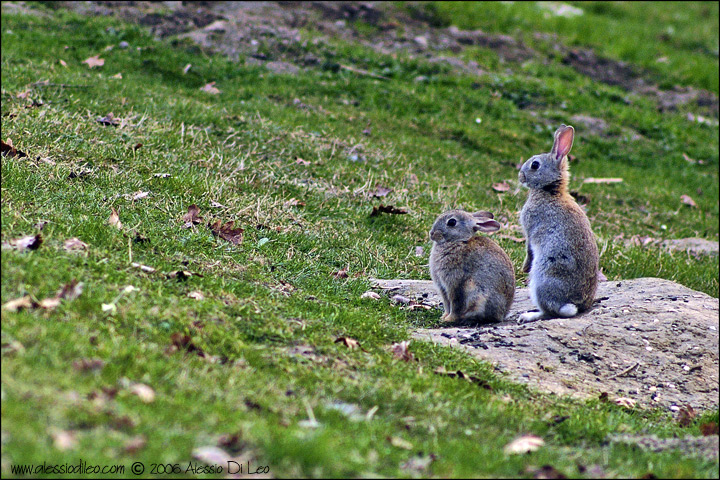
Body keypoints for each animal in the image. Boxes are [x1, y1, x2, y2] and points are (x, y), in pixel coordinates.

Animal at [516, 125, 600, 324]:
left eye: (535, 165)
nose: (520, 176)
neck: (550, 191)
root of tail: (574, 304)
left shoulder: (530, 230)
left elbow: (528, 249)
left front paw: (523, 267)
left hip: (543, 277)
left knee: (550, 311)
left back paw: (528, 316)